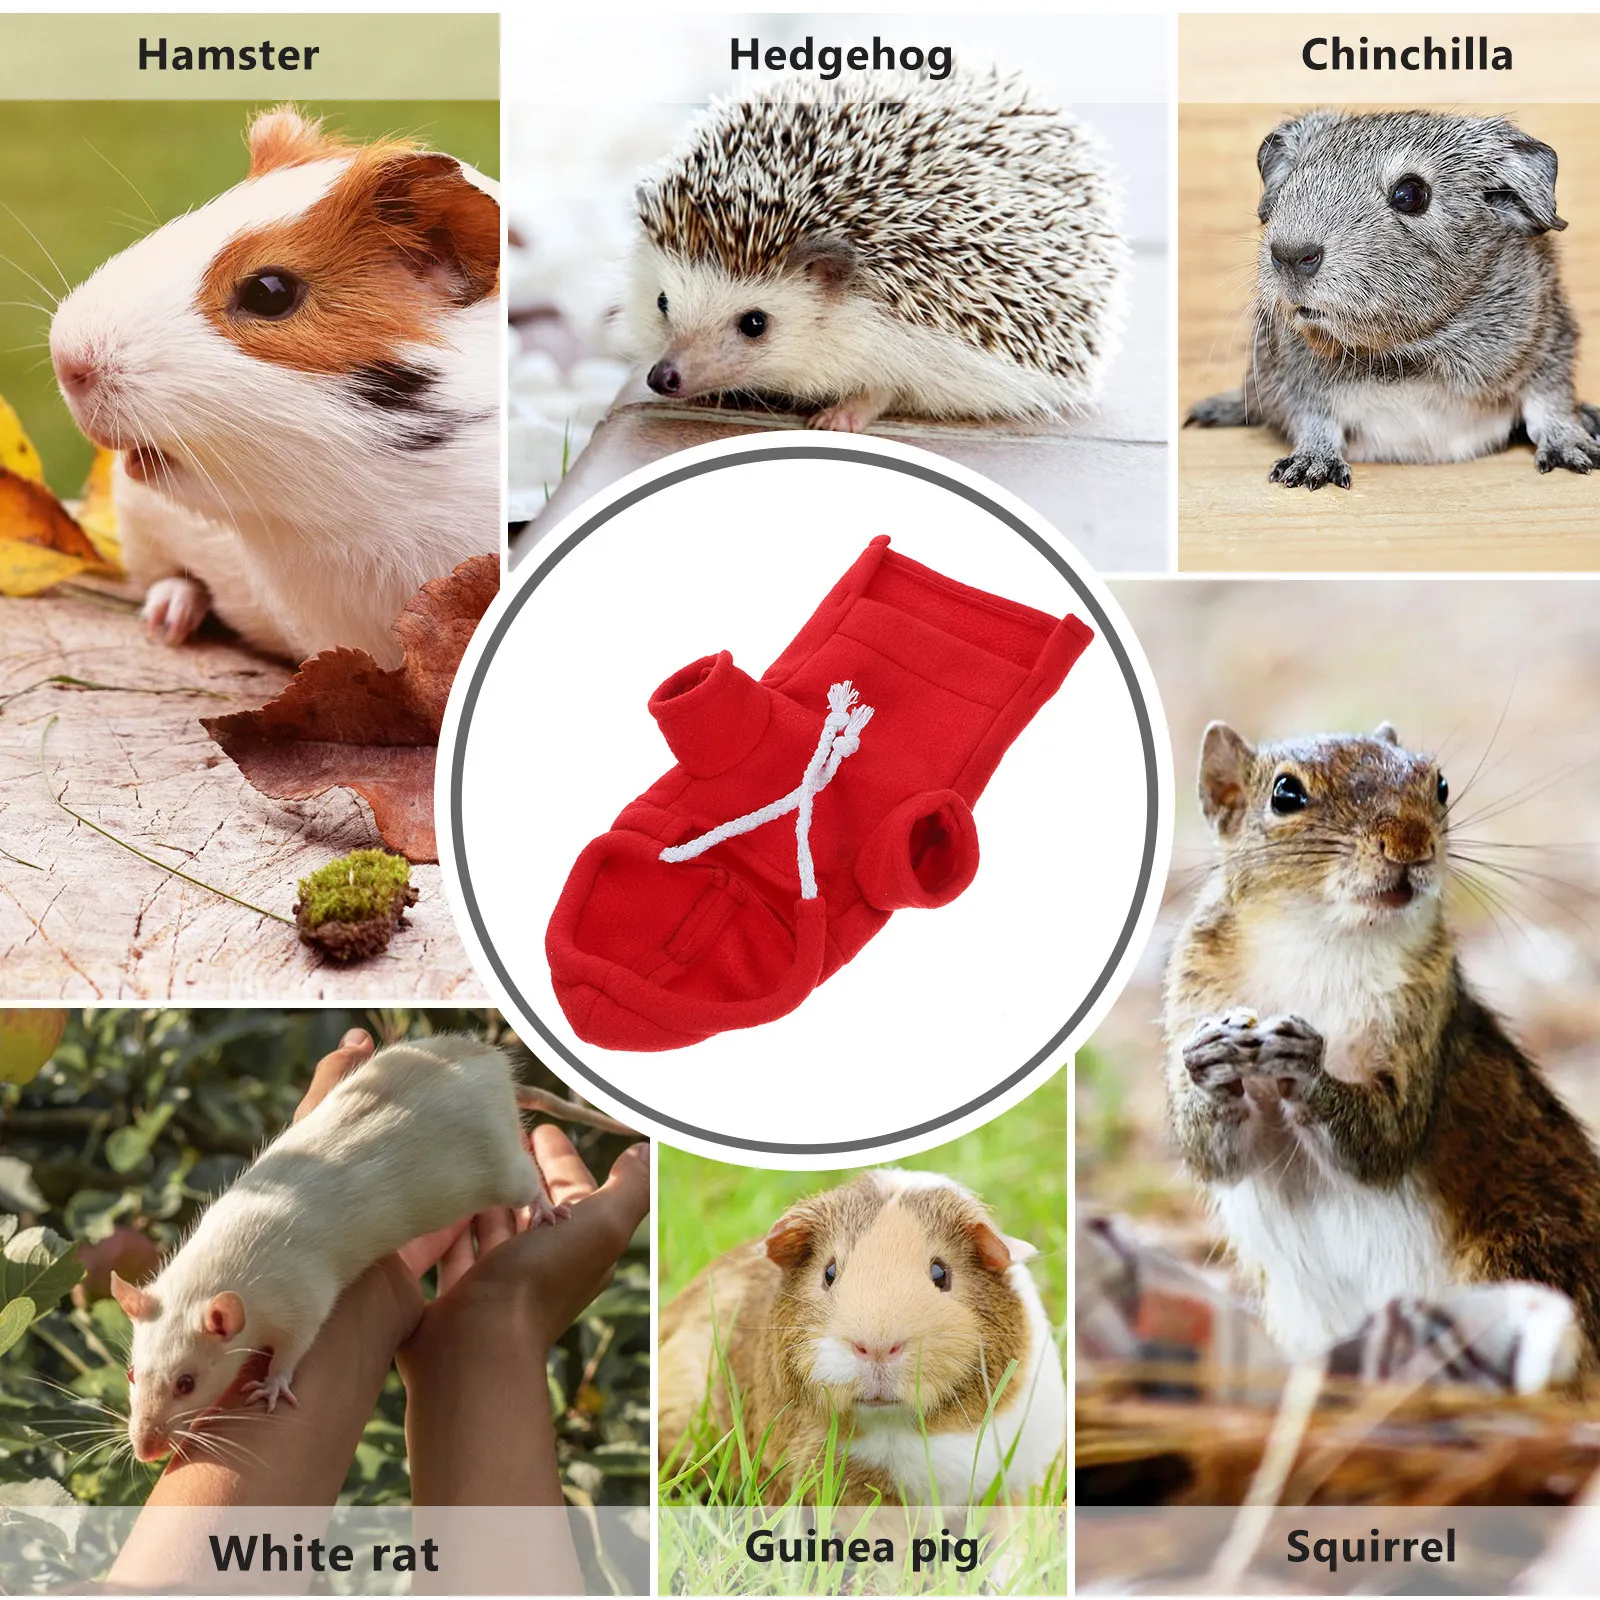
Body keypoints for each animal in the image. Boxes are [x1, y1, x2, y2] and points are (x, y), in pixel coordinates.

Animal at [110, 1037, 632, 1463]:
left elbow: (299, 1340)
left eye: (186, 1383)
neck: (206, 1277)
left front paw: (274, 1383)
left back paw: (543, 1208)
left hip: (499, 1166)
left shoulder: (297, 1296)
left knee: (525, 1181)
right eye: (133, 1374)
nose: (146, 1451)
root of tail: (495, 1070)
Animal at [1164, 722, 1600, 1362]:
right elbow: (1210, 1153)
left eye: (1439, 784)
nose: (1410, 842)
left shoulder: (1427, 1013)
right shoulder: (1193, 991)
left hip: (1529, 1253)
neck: (1323, 938)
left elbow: (1386, 1138)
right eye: (1286, 795)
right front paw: (1209, 1063)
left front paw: (1308, 1066)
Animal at [1187, 110, 1600, 488]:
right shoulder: (1293, 380)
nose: (1289, 254)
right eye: (1291, 180)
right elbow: (1314, 421)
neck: (1406, 354)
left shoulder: (1550, 344)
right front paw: (1308, 469)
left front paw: (1575, 452)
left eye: (1410, 194)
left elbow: (1549, 403)